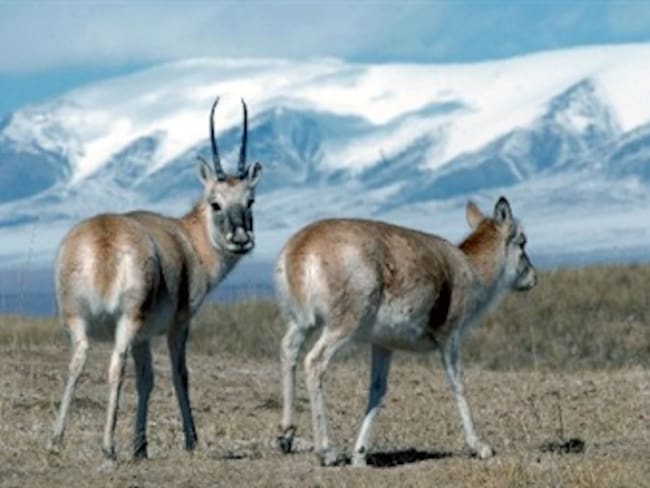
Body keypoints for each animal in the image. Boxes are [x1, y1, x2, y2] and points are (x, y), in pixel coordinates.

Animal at [47, 97, 263, 461]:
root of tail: (103, 236)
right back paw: (108, 446)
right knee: (115, 367)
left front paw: (141, 446)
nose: (240, 239)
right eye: (215, 203)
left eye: (250, 200)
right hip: (126, 321)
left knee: (77, 363)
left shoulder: (144, 337)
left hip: (76, 320)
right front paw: (190, 440)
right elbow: (179, 375)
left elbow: (145, 379)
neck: (188, 240)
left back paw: (55, 440)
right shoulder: (178, 325)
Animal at [275, 197, 537, 466]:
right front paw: (480, 446)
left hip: (302, 323)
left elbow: (378, 391)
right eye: (522, 241)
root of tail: (300, 247)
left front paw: (360, 455)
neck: (468, 269)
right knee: (314, 361)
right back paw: (326, 451)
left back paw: (286, 436)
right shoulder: (450, 340)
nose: (533, 277)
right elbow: (458, 385)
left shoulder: (383, 345)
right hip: (341, 327)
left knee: (288, 350)